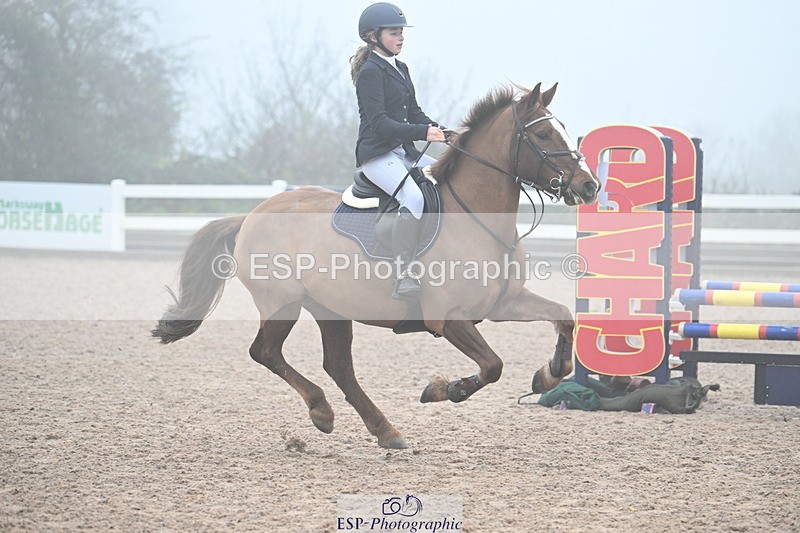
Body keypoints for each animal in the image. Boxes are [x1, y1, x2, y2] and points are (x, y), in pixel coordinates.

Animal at [152, 82, 600, 449]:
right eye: (543, 134)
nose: (589, 185)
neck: (476, 220)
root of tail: (250, 216)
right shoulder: (448, 318)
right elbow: (492, 365)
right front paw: (445, 389)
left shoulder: (504, 304)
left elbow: (564, 318)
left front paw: (547, 375)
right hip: (283, 303)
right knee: (265, 352)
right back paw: (323, 412)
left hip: (330, 309)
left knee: (338, 366)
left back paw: (385, 430)